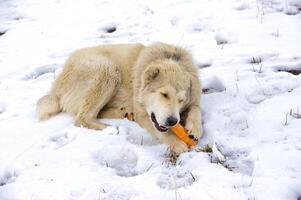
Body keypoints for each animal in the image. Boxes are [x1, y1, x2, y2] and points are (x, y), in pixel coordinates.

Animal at [37, 42, 202, 155]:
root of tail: (56, 86)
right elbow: (163, 132)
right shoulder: (143, 114)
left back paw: (124, 114)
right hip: (108, 69)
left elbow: (196, 109)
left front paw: (195, 129)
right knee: (82, 117)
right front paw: (176, 143)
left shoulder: (193, 100)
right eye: (164, 94)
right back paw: (109, 128)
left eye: (181, 100)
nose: (173, 121)